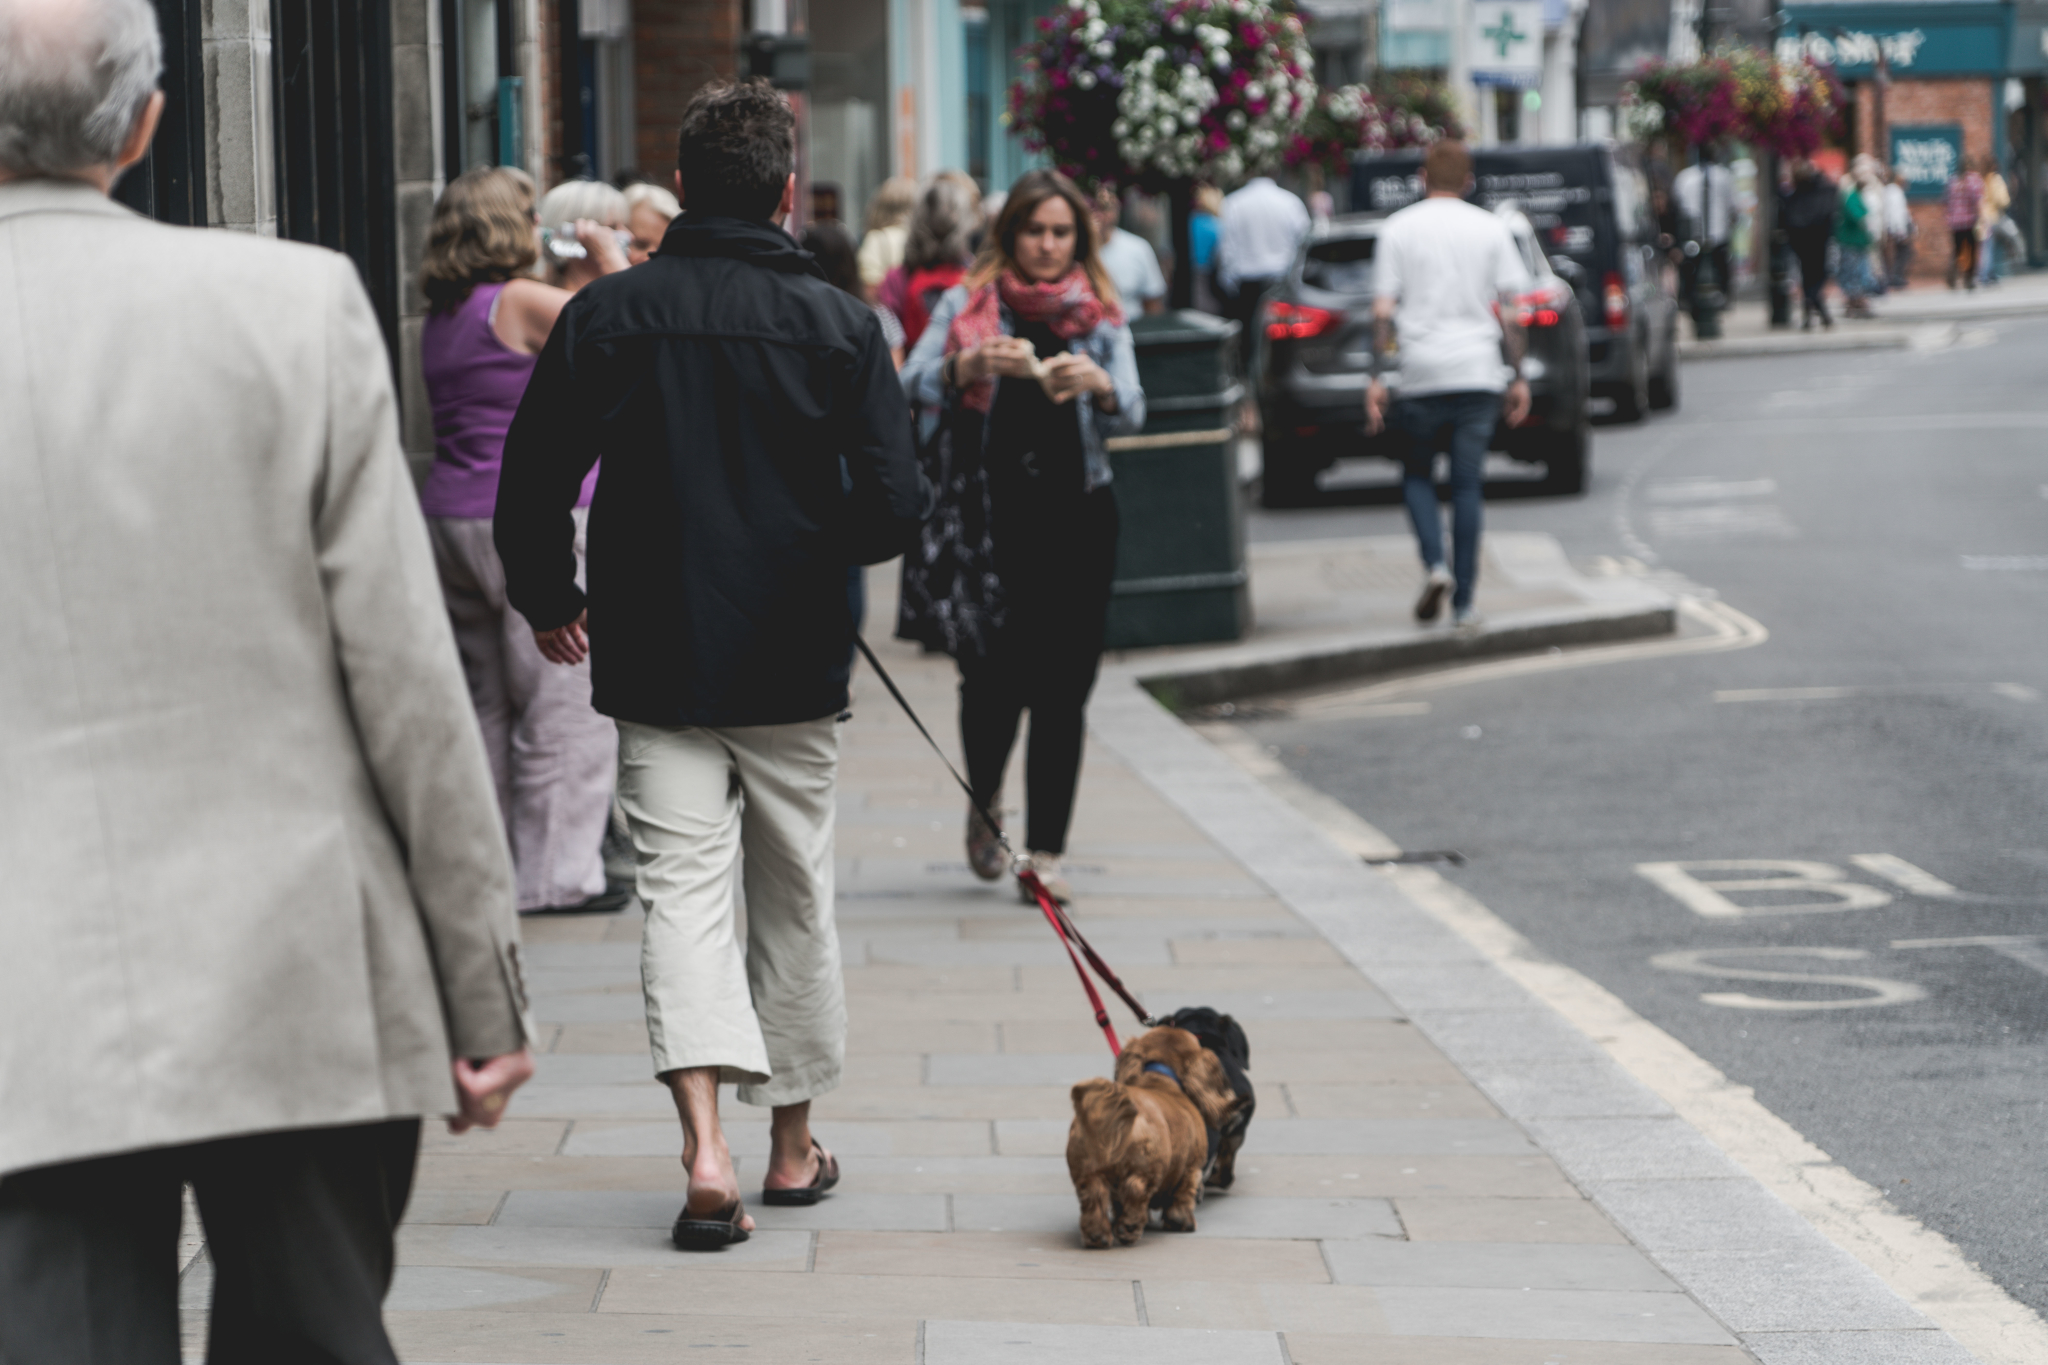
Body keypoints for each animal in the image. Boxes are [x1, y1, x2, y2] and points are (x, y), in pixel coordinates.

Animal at [1073, 1023, 1228, 1252]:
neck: (1160, 1077)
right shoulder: (1192, 1168)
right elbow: (1183, 1198)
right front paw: (1182, 1222)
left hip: (1088, 1173)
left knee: (1093, 1198)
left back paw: (1097, 1236)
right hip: (1147, 1168)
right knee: (1136, 1192)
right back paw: (1129, 1228)